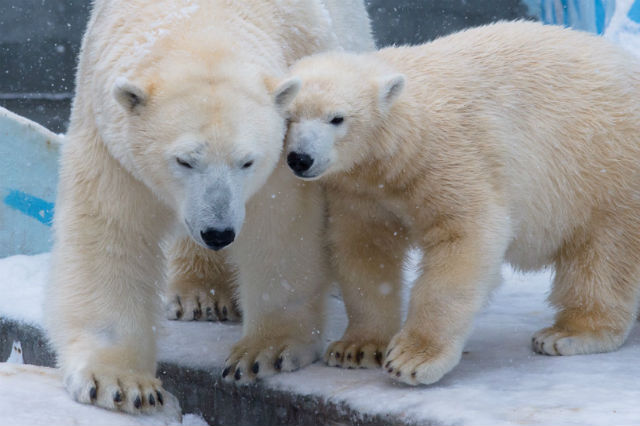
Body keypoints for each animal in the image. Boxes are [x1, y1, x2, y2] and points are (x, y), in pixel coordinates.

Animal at [45, 0, 372, 412]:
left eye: (247, 161)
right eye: (185, 160)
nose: (218, 232)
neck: (201, 18)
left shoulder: (285, 144)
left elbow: (280, 224)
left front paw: (264, 352)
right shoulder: (111, 139)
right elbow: (111, 228)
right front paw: (119, 382)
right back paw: (199, 295)